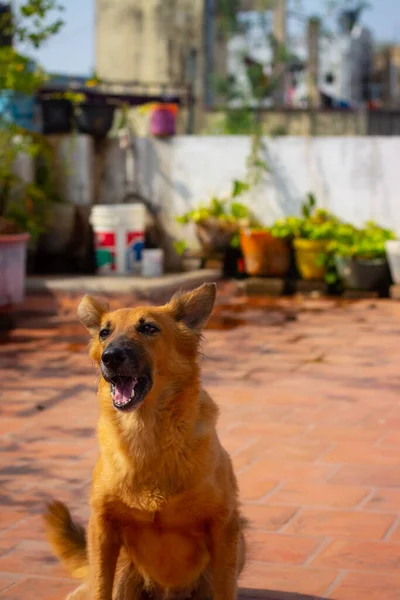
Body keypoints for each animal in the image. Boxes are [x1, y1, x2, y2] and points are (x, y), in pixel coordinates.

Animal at [42, 284, 245, 600]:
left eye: (148, 328)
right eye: (104, 332)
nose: (110, 357)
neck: (146, 433)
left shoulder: (224, 526)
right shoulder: (102, 526)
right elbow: (100, 586)